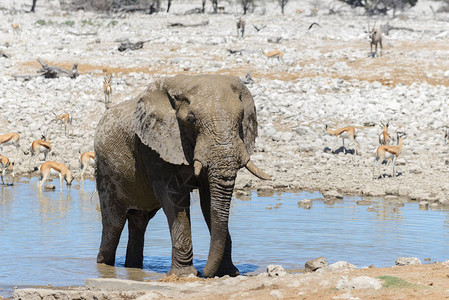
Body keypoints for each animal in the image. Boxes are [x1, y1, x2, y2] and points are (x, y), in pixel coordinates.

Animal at [94, 74, 270, 278]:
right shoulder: (153, 146)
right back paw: (104, 266)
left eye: (241, 117)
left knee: (139, 221)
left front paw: (228, 273)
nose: (204, 273)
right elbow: (174, 198)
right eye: (191, 119)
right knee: (114, 223)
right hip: (106, 173)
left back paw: (133, 267)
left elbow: (209, 201)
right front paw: (185, 275)